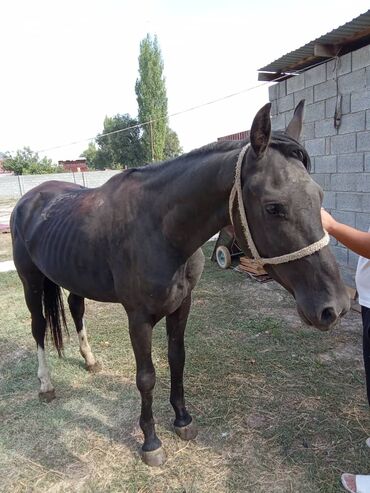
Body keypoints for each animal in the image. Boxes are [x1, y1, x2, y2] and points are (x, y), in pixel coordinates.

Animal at [10, 101, 348, 466]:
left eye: (319, 196)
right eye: (274, 207)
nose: (335, 307)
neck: (160, 230)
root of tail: (28, 200)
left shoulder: (182, 306)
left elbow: (177, 359)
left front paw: (183, 420)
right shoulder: (138, 318)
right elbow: (146, 377)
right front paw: (151, 441)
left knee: (75, 307)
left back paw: (90, 360)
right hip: (31, 281)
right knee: (38, 326)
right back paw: (45, 385)